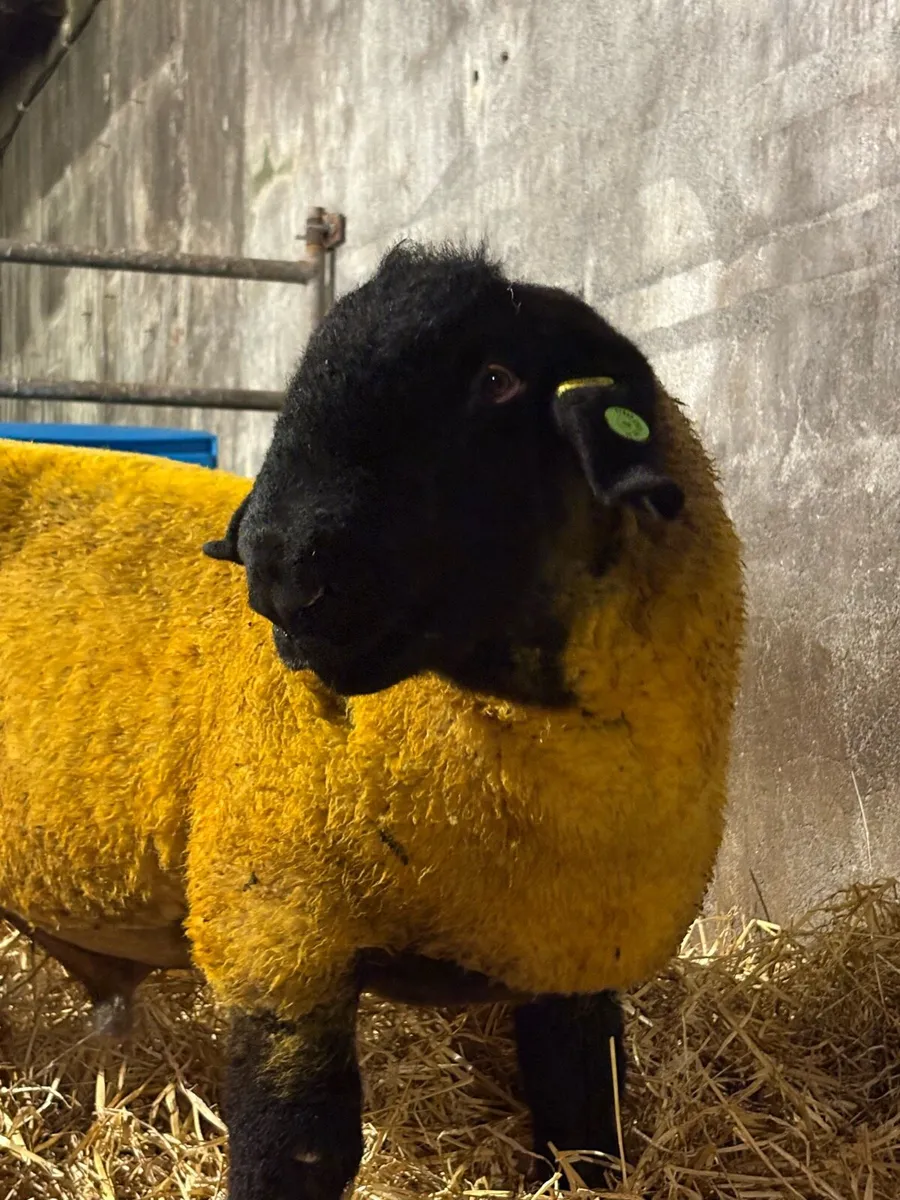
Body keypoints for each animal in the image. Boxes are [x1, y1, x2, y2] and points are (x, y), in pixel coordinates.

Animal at [0, 243, 745, 1200]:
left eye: (498, 378)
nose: (281, 574)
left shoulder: (576, 958)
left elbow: (586, 1125)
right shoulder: (278, 937)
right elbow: (299, 1151)